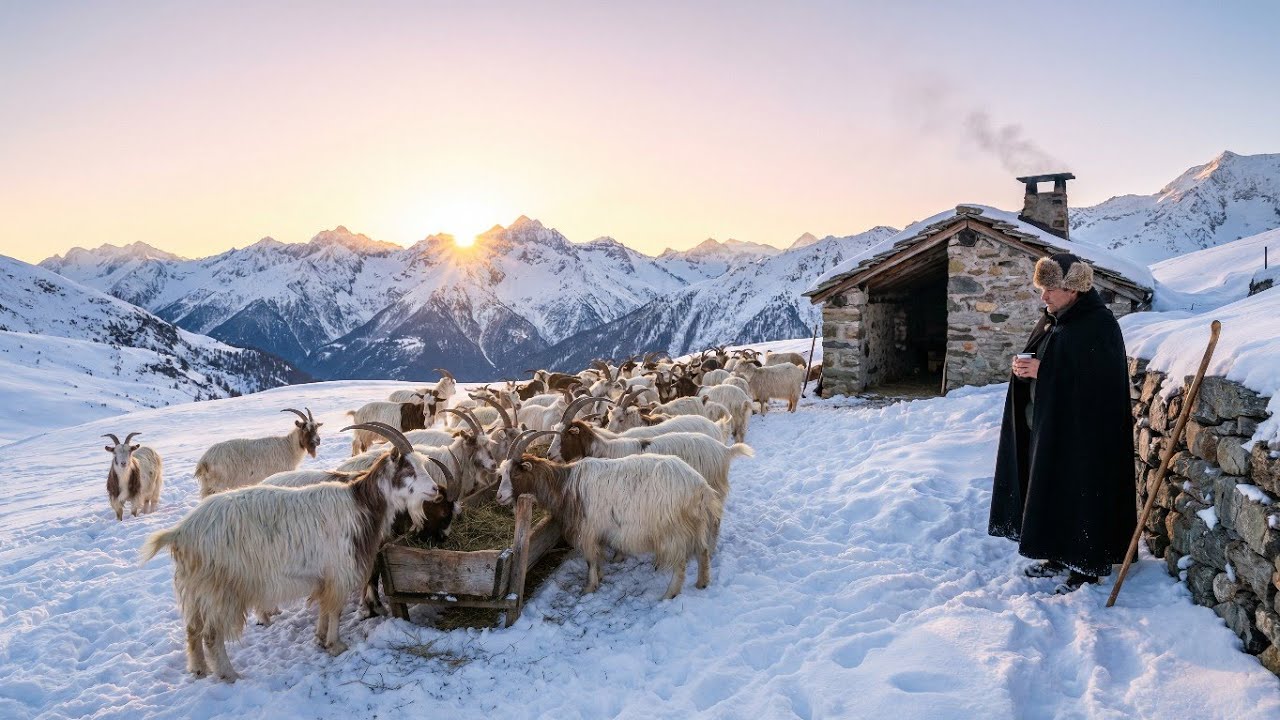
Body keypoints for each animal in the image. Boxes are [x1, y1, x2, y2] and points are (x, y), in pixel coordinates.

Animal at [141, 423, 439, 682]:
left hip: (196, 590)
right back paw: (230, 675)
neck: (359, 504)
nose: (436, 489)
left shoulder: (323, 576)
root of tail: (181, 532)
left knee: (192, 629)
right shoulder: (339, 571)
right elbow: (335, 609)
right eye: (408, 468)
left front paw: (320, 638)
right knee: (212, 634)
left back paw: (199, 669)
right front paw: (336, 645)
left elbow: (324, 608)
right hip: (220, 589)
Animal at [496, 431, 721, 600]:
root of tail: (700, 487)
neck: (566, 485)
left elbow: (590, 559)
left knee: (680, 561)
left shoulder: (587, 531)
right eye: (503, 474)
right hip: (695, 524)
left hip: (672, 531)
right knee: (702, 551)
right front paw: (601, 576)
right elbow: (598, 556)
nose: (499, 496)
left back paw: (669, 594)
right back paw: (702, 583)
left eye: (515, 474)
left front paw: (589, 587)